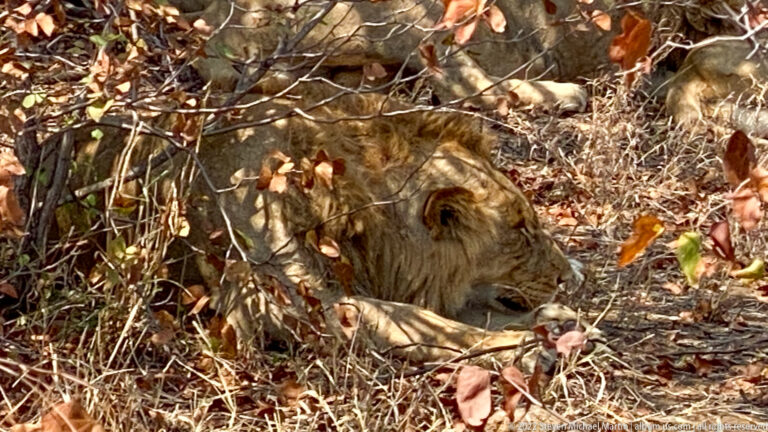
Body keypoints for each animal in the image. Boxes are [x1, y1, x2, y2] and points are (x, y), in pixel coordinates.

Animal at [70, 85, 589, 361]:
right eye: (521, 230)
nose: (568, 277)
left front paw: (557, 320)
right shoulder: (279, 302)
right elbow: (424, 322)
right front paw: (527, 346)